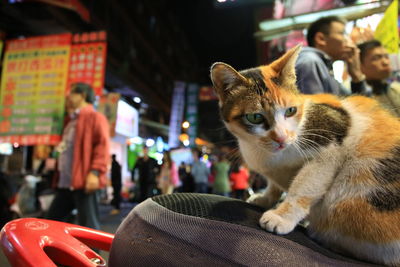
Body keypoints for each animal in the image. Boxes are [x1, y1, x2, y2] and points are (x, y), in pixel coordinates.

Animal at [209, 45, 400, 266]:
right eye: (255, 117)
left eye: (290, 111)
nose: (282, 137)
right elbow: (273, 185)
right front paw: (264, 198)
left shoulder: (331, 146)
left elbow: (303, 187)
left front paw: (281, 217)